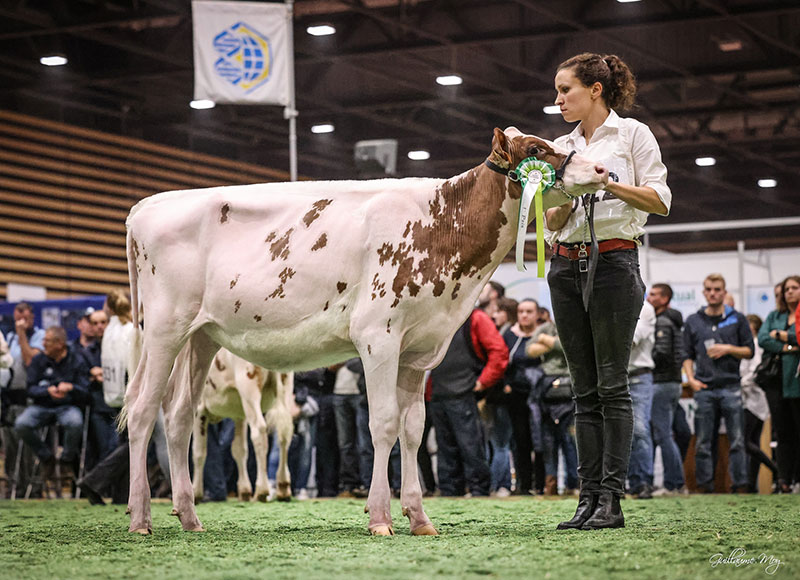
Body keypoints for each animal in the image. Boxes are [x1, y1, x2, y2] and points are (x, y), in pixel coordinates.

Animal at [191, 348, 294, 502]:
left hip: (248, 388)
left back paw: (261, 490)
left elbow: (198, 452)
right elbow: (239, 450)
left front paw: (196, 493)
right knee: (284, 435)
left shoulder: (199, 409)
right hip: (285, 388)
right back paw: (283, 487)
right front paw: (244, 491)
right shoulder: (239, 415)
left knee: (259, 430)